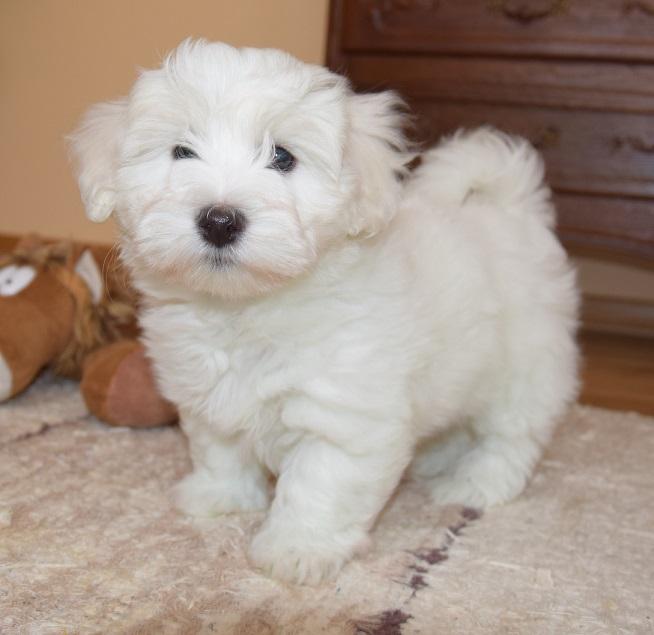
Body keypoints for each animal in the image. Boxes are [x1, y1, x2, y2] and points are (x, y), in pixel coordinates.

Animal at [70, 39, 580, 588]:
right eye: (182, 152)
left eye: (282, 157)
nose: (220, 220)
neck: (245, 308)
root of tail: (511, 208)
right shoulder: (206, 394)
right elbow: (219, 449)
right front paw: (220, 497)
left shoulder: (342, 416)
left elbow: (319, 485)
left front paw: (298, 549)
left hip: (526, 364)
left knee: (513, 434)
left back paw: (475, 484)